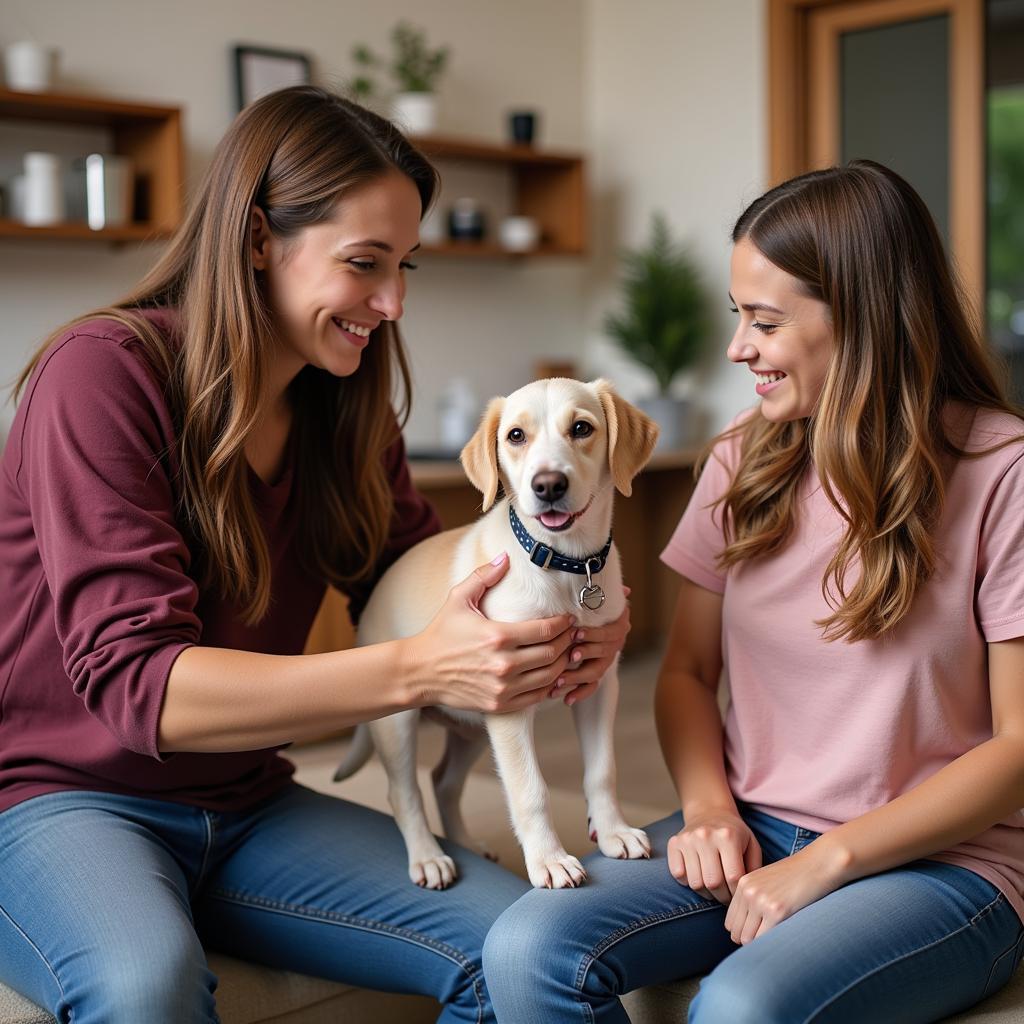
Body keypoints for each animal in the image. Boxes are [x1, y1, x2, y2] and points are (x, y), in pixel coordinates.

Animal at [333, 378, 655, 888]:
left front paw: (613, 832)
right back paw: (428, 856)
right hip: (399, 724)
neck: (562, 565)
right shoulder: (509, 706)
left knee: (443, 781)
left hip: (470, 725)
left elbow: (602, 770)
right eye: (516, 436)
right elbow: (530, 791)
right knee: (404, 791)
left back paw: (466, 844)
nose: (548, 485)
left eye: (582, 428)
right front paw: (549, 860)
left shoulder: (599, 686)